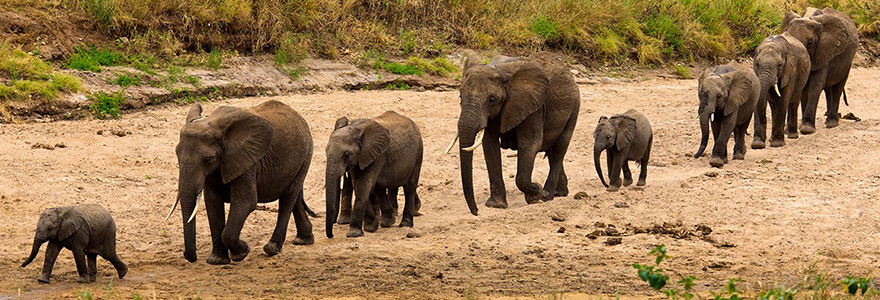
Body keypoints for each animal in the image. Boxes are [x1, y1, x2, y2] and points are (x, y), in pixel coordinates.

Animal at [167, 101, 314, 264]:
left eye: (207, 160)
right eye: (177, 154)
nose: (186, 255)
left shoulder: (247, 162)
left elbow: (245, 202)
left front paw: (242, 252)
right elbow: (213, 203)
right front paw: (217, 261)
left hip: (306, 153)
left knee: (287, 199)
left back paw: (272, 248)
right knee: (295, 196)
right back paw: (303, 240)